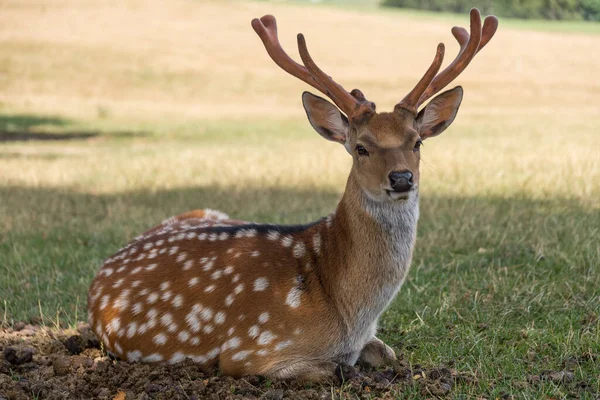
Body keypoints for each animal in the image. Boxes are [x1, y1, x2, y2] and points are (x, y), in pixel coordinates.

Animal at [88, 9, 496, 382]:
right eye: (361, 148)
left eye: (417, 142)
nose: (401, 178)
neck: (348, 312)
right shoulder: (249, 348)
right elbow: (338, 370)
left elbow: (387, 353)